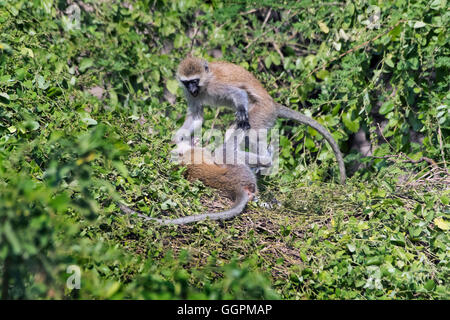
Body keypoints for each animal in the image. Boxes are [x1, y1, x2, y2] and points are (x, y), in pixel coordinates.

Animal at [174, 56, 346, 184]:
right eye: (187, 83)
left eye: (195, 81)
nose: (192, 89)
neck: (205, 84)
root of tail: (274, 105)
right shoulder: (190, 94)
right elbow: (196, 116)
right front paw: (178, 137)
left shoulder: (216, 85)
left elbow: (239, 93)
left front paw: (241, 108)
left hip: (263, 111)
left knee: (251, 131)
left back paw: (265, 160)